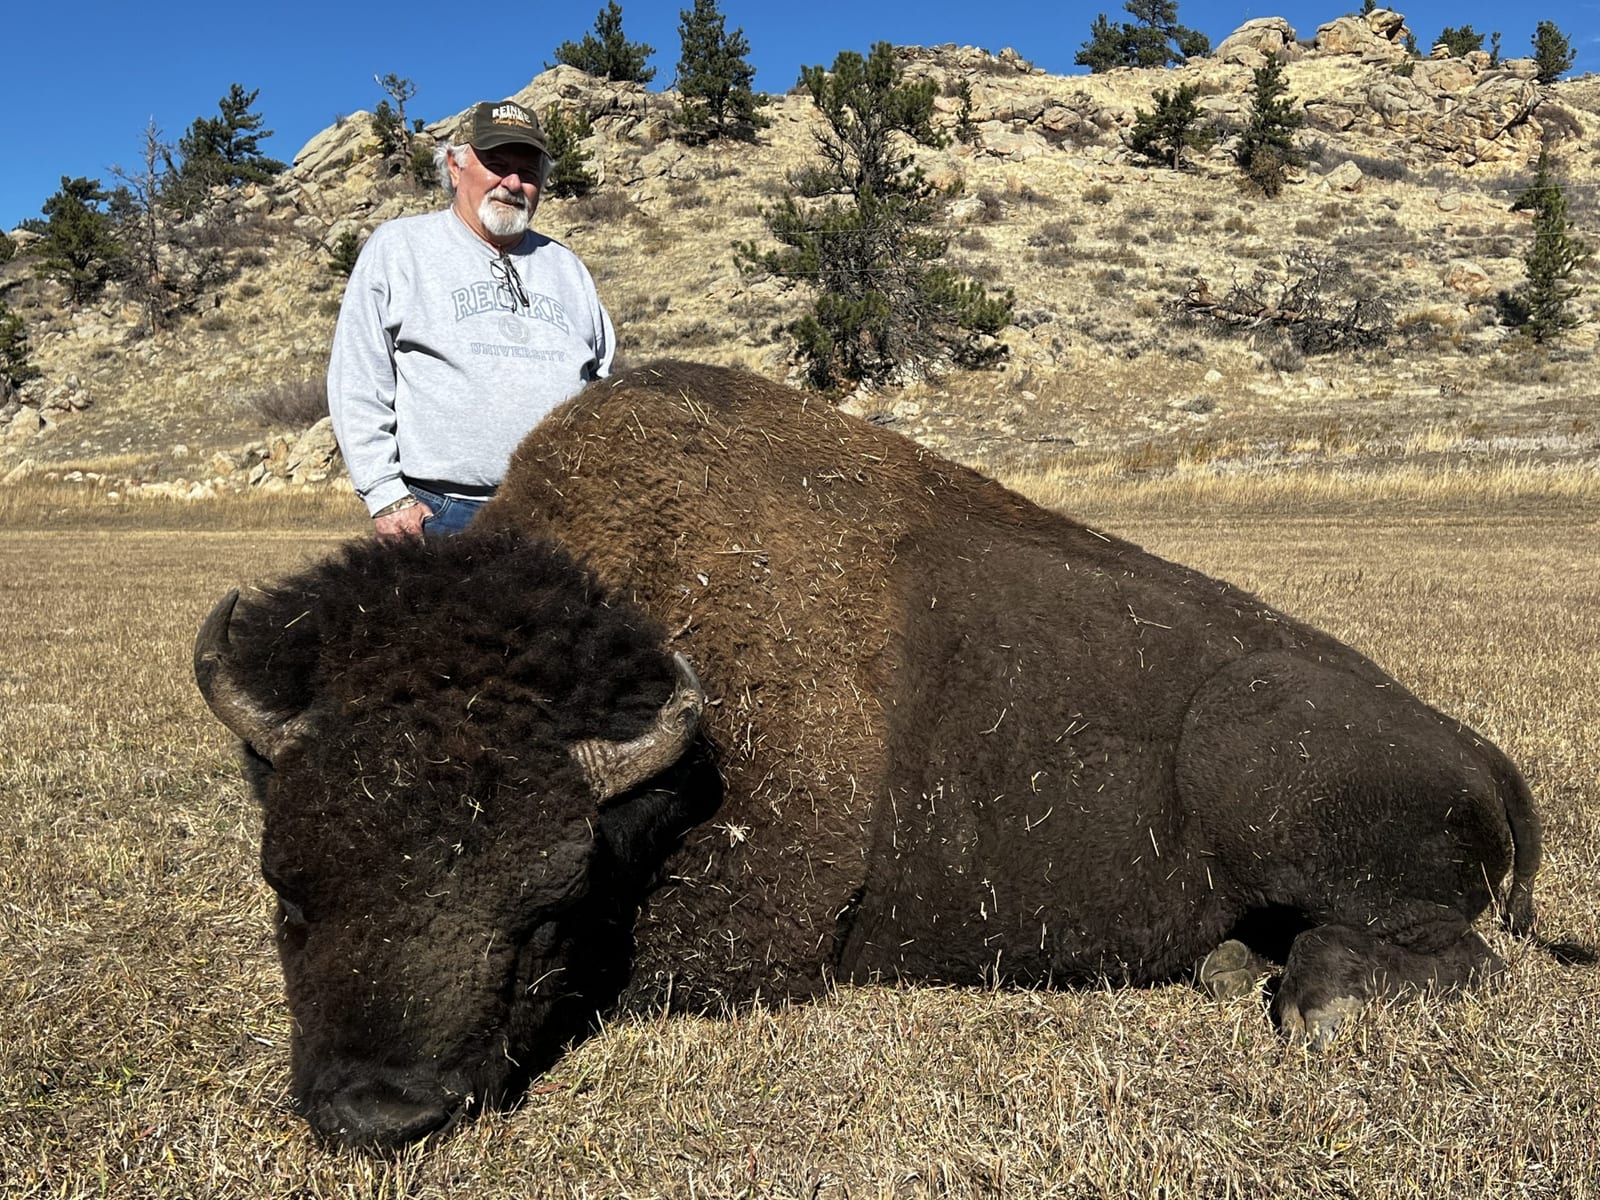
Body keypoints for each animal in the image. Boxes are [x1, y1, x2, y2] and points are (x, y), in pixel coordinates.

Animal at [195, 361, 1541, 1150]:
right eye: (286, 889)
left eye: (544, 909)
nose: (380, 1114)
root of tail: (1478, 748)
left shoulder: (747, 939)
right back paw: (1228, 969)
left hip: (1263, 765)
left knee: (1447, 955)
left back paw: (1309, 998)